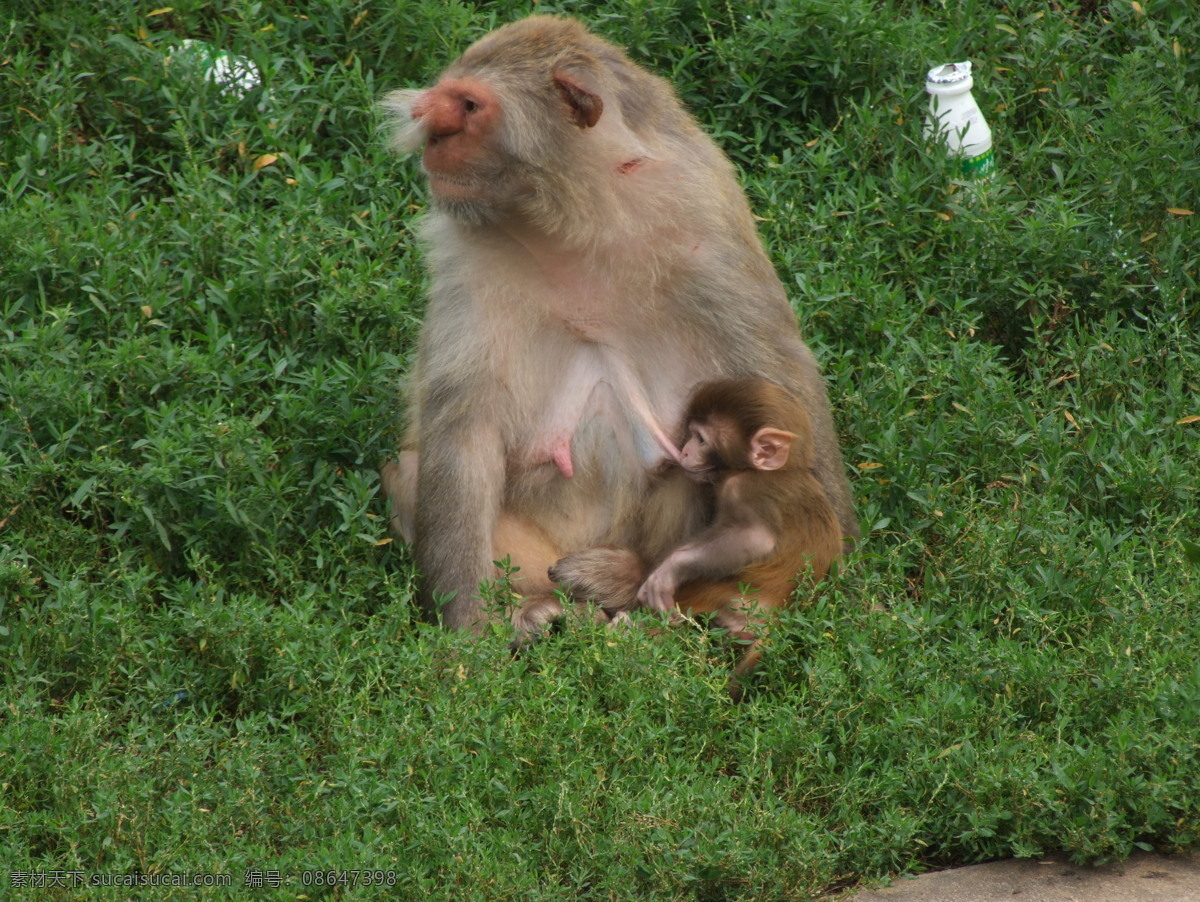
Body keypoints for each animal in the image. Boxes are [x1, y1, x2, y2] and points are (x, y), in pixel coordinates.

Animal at [379, 14, 859, 633]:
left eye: (467, 105)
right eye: (445, 98)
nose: (430, 134)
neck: (574, 221)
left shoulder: (705, 227)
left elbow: (779, 379)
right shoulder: (466, 257)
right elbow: (464, 427)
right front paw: (468, 633)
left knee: (690, 471)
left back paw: (623, 581)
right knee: (412, 469)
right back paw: (537, 612)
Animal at [549, 374, 840, 695]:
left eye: (700, 439)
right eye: (691, 435)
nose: (685, 451)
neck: (782, 470)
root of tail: (781, 614)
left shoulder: (743, 487)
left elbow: (756, 538)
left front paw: (664, 574)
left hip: (730, 597)